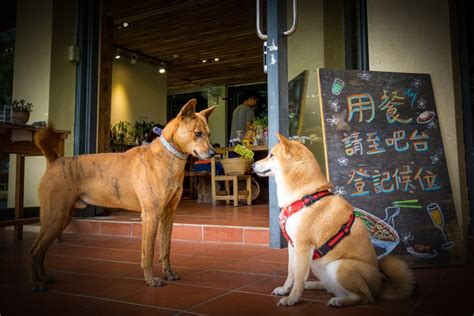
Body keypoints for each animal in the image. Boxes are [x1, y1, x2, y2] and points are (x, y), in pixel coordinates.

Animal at [29, 99, 215, 292]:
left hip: (62, 219)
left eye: (208, 134)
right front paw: (151, 280)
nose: (213, 154)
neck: (167, 155)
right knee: (34, 251)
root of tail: (55, 161)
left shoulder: (168, 215)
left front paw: (169, 273)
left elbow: (165, 249)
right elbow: (148, 253)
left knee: (41, 250)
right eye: (198, 133)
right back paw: (37, 282)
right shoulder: (151, 215)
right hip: (56, 217)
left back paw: (43, 278)